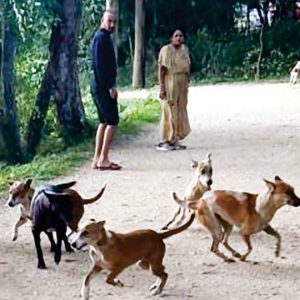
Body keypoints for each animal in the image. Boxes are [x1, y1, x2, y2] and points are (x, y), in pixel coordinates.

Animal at [172, 176, 300, 262]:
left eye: (293, 191)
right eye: (287, 192)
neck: (263, 204)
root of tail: (199, 201)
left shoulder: (267, 228)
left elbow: (278, 236)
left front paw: (277, 251)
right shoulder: (244, 233)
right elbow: (250, 248)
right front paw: (243, 257)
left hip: (228, 226)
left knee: (224, 242)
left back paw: (235, 253)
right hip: (217, 230)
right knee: (214, 248)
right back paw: (228, 258)